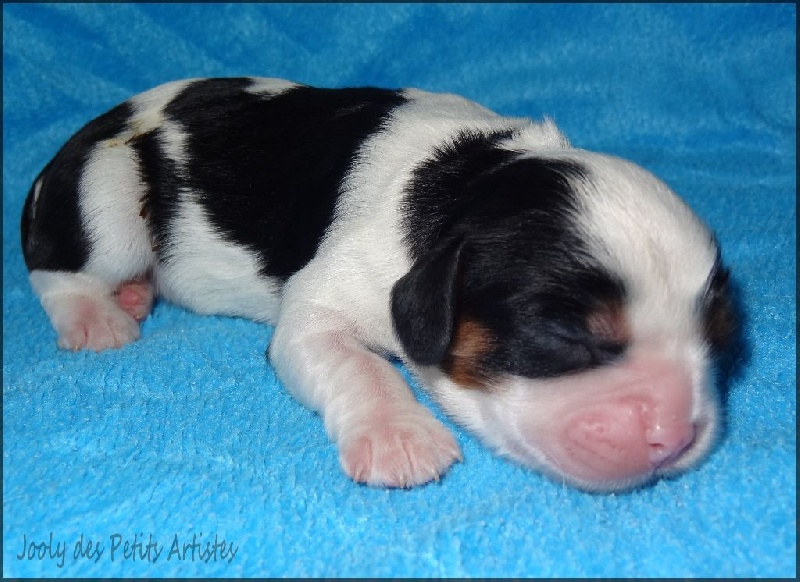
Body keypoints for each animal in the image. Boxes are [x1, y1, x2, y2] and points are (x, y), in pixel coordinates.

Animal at [21, 77, 735, 491]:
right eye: (563, 335)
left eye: (722, 339)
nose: (676, 438)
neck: (464, 182)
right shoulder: (321, 309)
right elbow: (358, 364)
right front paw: (401, 441)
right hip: (107, 198)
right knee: (56, 268)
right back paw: (98, 318)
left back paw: (136, 295)